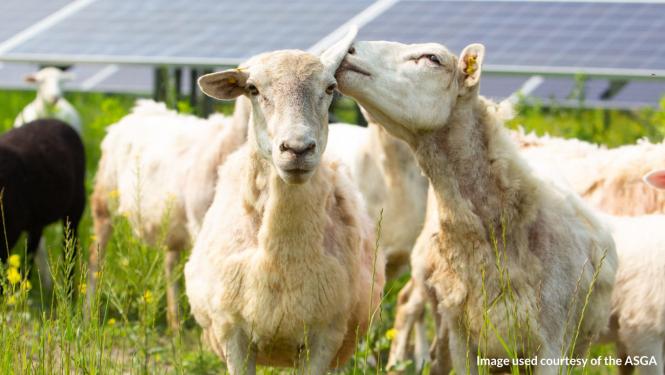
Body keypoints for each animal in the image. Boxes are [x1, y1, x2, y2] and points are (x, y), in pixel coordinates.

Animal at [88, 98, 249, 330]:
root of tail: (139, 110)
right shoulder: (200, 223)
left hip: (172, 221)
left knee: (170, 264)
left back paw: (175, 325)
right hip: (105, 199)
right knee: (95, 256)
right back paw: (88, 315)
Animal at [184, 30, 386, 374]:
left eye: (330, 88)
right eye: (253, 89)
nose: (297, 148)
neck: (283, 260)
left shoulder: (325, 338)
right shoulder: (231, 333)